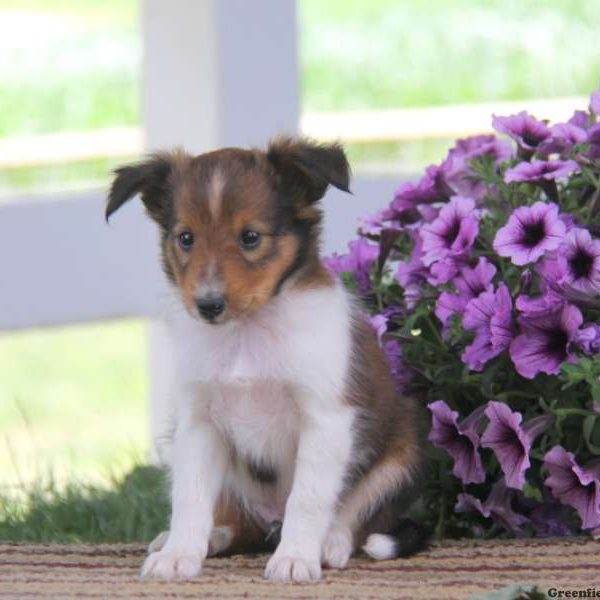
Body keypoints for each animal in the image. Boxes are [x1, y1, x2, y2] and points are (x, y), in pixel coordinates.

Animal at [108, 137, 426, 580]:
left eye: (250, 237)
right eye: (186, 238)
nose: (208, 305)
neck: (246, 334)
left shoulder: (326, 419)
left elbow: (308, 498)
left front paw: (295, 558)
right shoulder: (199, 423)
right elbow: (190, 497)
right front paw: (178, 555)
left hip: (402, 455)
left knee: (355, 516)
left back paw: (329, 544)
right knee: (237, 522)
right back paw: (207, 538)